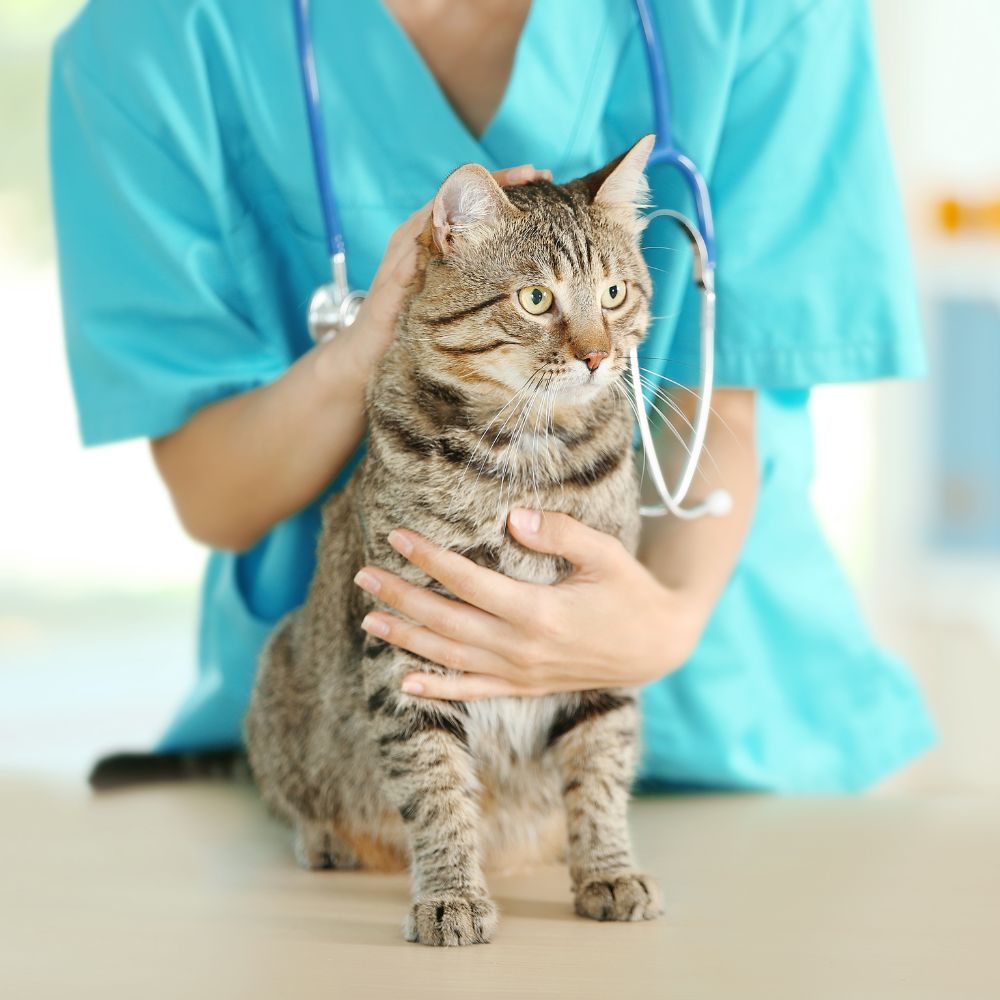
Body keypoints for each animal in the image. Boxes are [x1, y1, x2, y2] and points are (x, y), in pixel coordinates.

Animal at [243, 135, 664, 944]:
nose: (598, 355)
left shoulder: (598, 625)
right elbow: (436, 786)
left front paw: (608, 869)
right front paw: (451, 894)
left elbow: (600, 766)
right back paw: (326, 837)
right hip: (280, 672)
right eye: (537, 299)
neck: (527, 461)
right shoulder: (406, 640)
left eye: (614, 294)